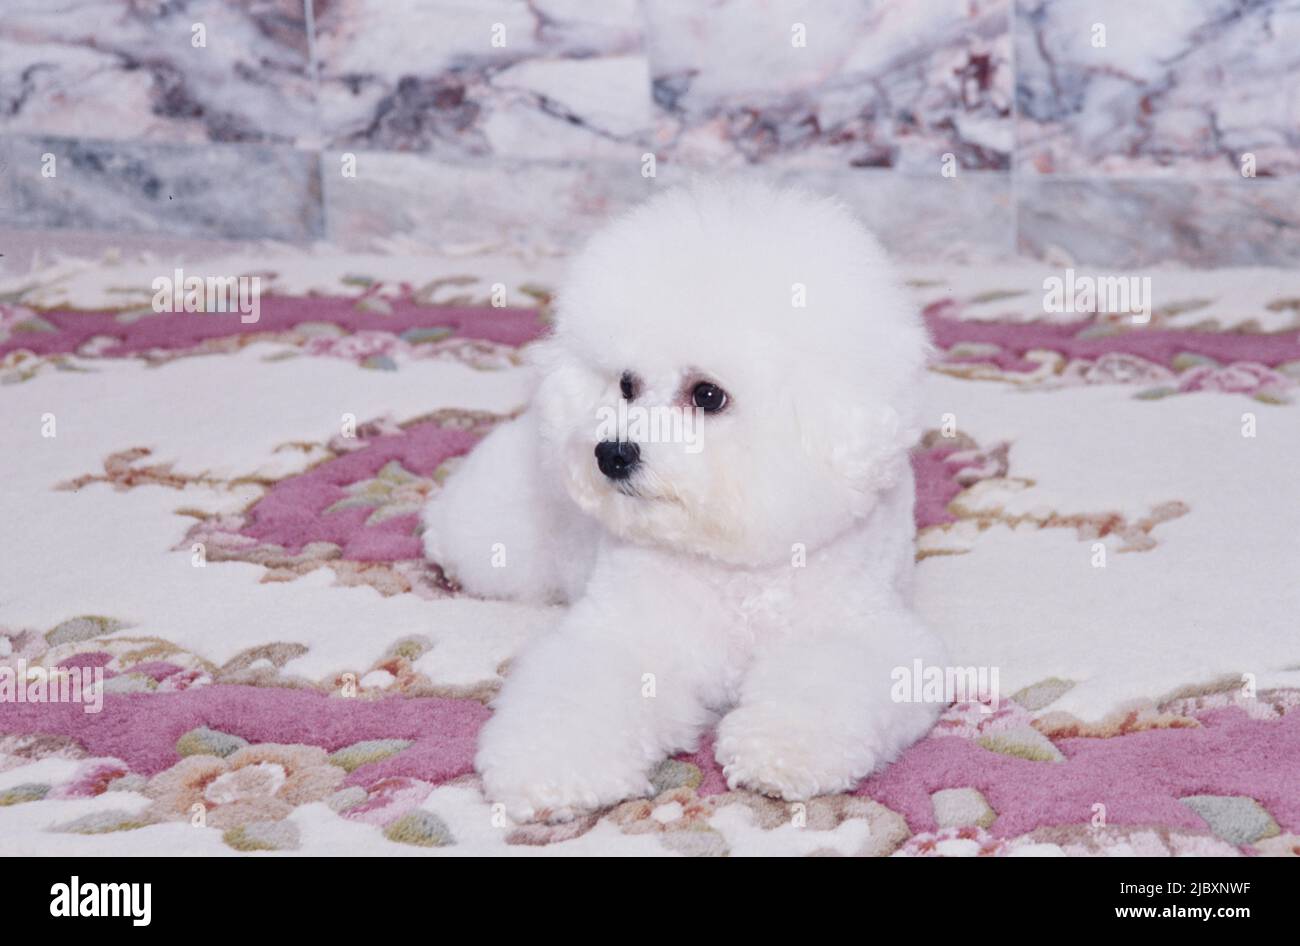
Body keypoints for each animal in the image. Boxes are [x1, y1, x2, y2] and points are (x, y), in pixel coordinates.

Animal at [423, 176, 946, 821]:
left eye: (707, 394)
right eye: (626, 384)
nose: (610, 453)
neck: (730, 565)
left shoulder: (863, 631)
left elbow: (822, 686)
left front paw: (782, 751)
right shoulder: (629, 632)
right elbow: (579, 695)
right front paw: (550, 771)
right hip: (501, 540)